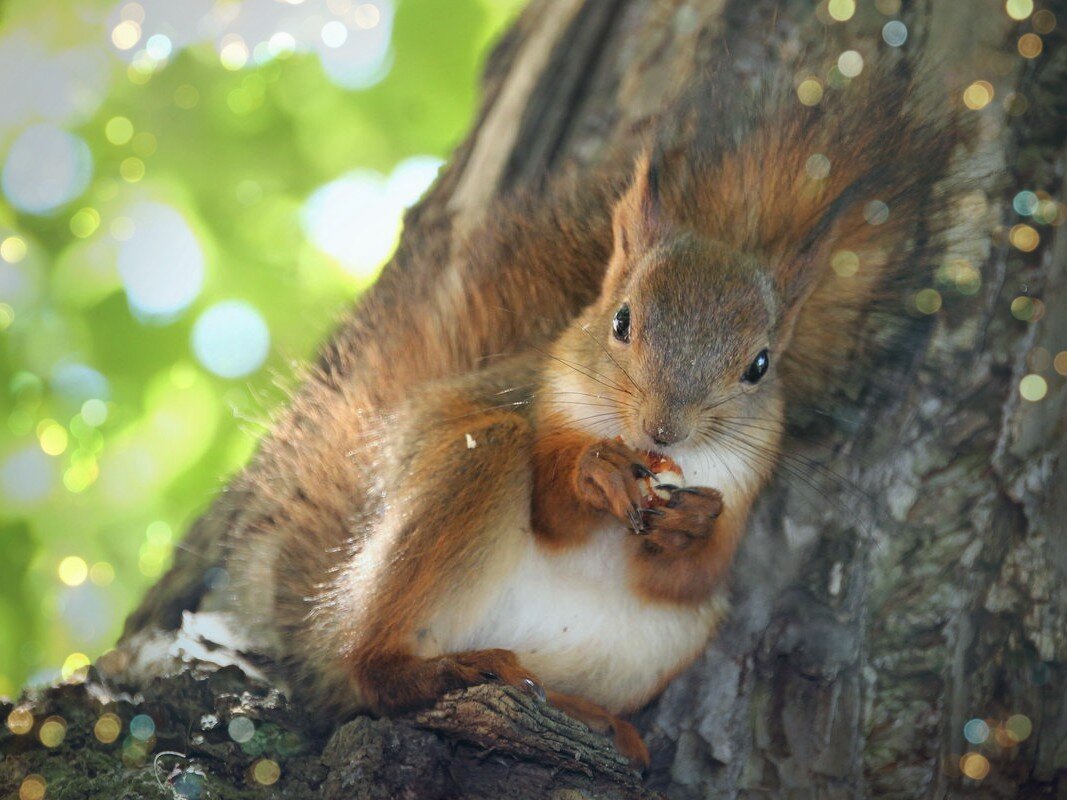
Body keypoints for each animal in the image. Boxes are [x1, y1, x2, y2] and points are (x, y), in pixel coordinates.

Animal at [126, 53, 968, 768]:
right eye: (621, 321)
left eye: (759, 366)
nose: (661, 430)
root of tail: (322, 628)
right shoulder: (533, 398)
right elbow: (558, 506)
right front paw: (595, 471)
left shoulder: (744, 485)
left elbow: (695, 568)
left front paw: (693, 521)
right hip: (455, 494)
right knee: (374, 669)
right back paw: (433, 668)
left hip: (653, 645)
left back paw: (589, 718)